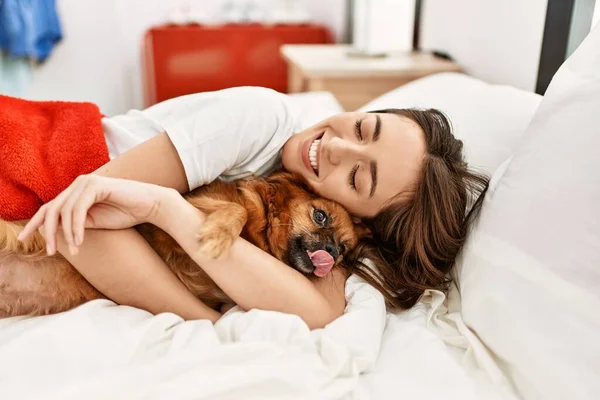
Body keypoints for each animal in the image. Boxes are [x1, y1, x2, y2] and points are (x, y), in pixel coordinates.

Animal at [0, 170, 358, 318]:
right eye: (320, 216)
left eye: (344, 251)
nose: (332, 253)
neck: (260, 236)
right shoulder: (189, 204)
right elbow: (239, 208)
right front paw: (216, 236)